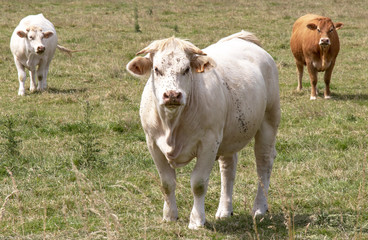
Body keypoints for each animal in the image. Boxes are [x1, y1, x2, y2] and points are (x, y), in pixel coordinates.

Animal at [126, 31, 278, 230]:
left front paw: (197, 220)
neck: (172, 125)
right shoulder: (152, 143)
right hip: (229, 135)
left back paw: (260, 207)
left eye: (186, 69)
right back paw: (224, 210)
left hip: (269, 120)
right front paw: (169, 215)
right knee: (228, 168)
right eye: (157, 69)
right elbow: (166, 182)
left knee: (263, 163)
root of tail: (241, 37)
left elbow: (198, 183)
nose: (172, 95)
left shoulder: (209, 143)